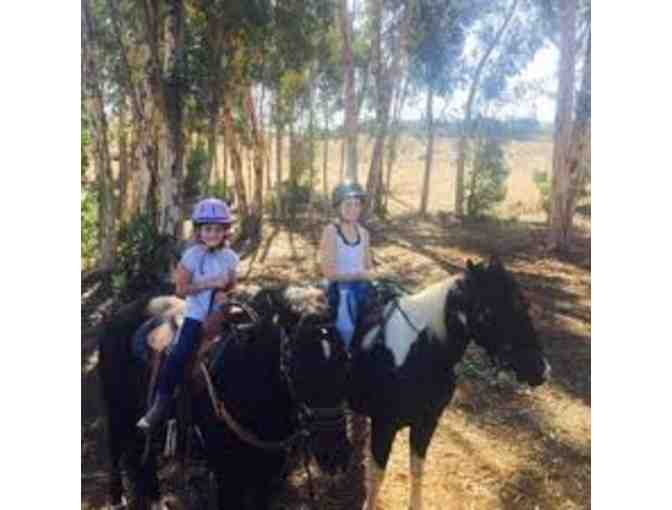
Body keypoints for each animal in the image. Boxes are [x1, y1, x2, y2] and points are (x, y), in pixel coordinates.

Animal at [101, 288, 352, 508]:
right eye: (297, 366)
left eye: (345, 361)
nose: (334, 454)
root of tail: (119, 313)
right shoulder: (227, 478)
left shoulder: (266, 476)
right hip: (117, 412)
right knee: (116, 450)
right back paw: (117, 496)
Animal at [346, 256, 552, 510]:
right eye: (492, 311)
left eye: (524, 305)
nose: (541, 370)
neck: (421, 351)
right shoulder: (384, 426)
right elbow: (377, 477)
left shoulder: (427, 423)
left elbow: (417, 469)